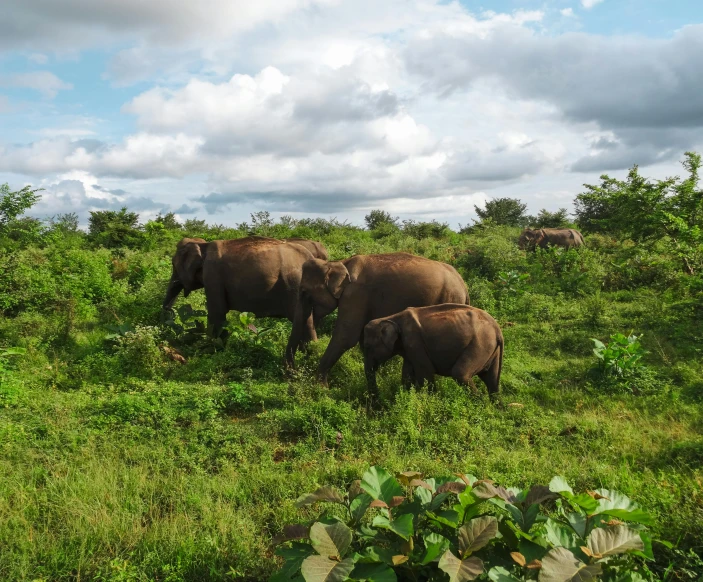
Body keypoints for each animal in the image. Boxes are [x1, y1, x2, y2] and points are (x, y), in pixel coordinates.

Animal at [162, 236, 316, 344]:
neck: (203, 245)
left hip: (294, 286)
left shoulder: (212, 275)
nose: (170, 311)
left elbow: (217, 313)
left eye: (173, 265)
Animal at [286, 253, 472, 386]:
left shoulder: (355, 295)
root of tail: (463, 285)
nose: (291, 374)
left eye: (304, 292)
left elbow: (346, 337)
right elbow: (360, 338)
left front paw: (321, 388)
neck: (339, 262)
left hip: (448, 297)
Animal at [364, 304, 506, 400]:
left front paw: (430, 400)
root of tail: (497, 329)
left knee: (460, 373)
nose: (376, 401)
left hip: (480, 345)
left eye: (367, 347)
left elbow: (425, 372)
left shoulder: (415, 342)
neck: (392, 317)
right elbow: (407, 374)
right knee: (492, 381)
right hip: (491, 350)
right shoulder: (409, 348)